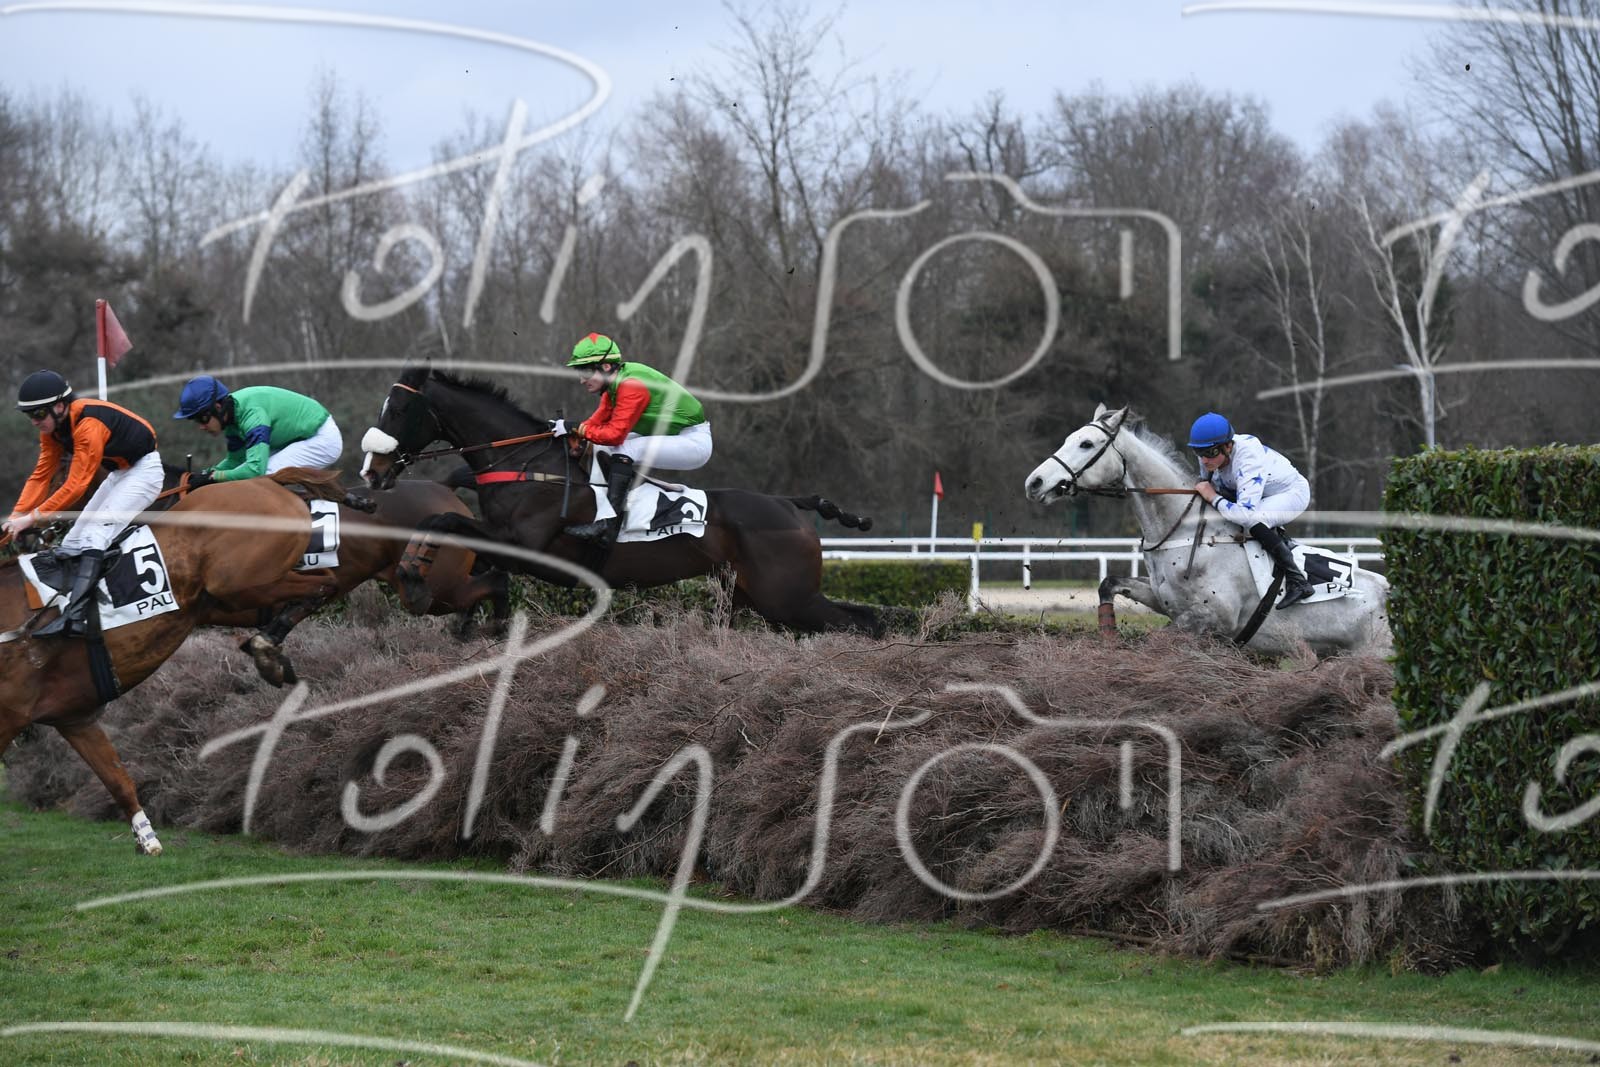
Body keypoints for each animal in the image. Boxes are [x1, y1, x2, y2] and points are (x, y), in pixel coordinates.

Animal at [0, 471, 355, 855]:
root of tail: (267, 481)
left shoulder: (10, 716)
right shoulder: (74, 717)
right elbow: (118, 779)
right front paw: (147, 840)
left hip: (239, 583)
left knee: (325, 584)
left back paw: (268, 649)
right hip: (221, 601)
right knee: (322, 587)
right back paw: (269, 650)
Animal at [360, 367, 883, 636]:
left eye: (399, 409)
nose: (373, 471)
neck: (527, 462)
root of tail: (789, 504)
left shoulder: (530, 548)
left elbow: (443, 519)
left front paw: (414, 576)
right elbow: (466, 545)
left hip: (787, 596)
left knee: (860, 622)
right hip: (758, 595)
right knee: (863, 618)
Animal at [1023, 405, 1391, 657]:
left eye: (1086, 443)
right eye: (1069, 439)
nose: (1034, 483)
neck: (1181, 534)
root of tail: (1392, 592)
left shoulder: (1211, 619)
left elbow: (1157, 641)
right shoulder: (1164, 600)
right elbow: (1108, 583)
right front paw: (1109, 634)